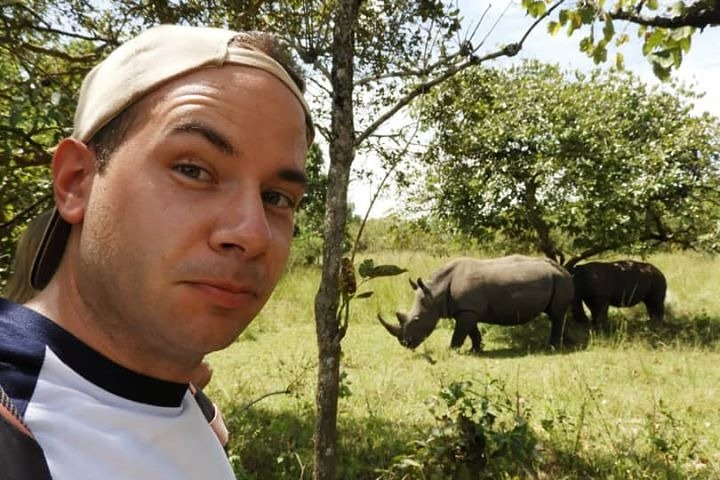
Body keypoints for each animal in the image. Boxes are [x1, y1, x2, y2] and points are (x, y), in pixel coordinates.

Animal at [376, 255, 572, 352]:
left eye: (416, 320)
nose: (405, 344)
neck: (435, 291)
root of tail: (565, 270)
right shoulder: (467, 310)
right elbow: (472, 332)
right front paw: (475, 350)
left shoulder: (467, 310)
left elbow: (459, 333)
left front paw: (451, 350)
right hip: (556, 278)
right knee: (555, 315)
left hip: (560, 279)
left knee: (556, 315)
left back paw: (551, 348)